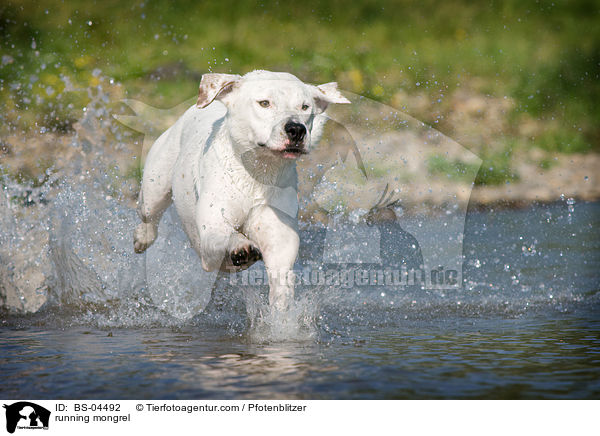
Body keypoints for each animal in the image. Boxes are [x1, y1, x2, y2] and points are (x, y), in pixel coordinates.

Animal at [134, 70, 350, 310]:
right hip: (156, 184)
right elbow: (225, 235)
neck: (257, 174)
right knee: (149, 215)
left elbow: (281, 278)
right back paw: (142, 238)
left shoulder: (279, 237)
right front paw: (241, 247)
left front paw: (280, 312)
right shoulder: (212, 228)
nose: (296, 129)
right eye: (264, 103)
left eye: (304, 107)